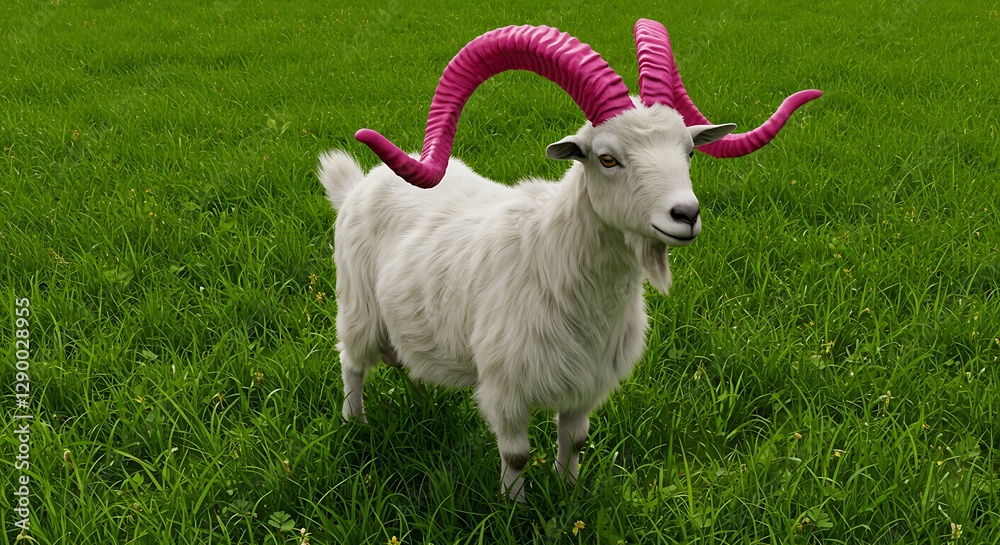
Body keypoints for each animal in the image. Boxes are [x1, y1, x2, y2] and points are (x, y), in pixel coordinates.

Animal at [320, 19, 819, 501]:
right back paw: (355, 423)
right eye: (607, 158)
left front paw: (568, 493)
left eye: (689, 151)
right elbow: (517, 455)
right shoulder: (505, 389)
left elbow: (574, 441)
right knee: (352, 364)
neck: (550, 260)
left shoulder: (585, 386)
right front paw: (514, 507)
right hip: (358, 309)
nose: (686, 215)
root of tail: (357, 185)